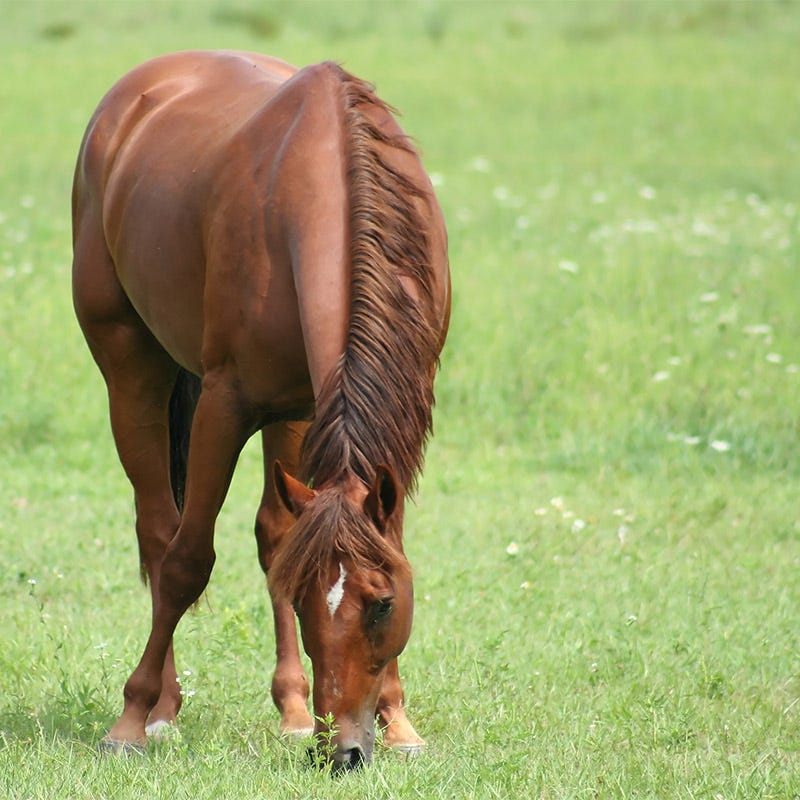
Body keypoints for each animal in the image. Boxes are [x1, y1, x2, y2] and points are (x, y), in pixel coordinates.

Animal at [71, 50, 450, 769]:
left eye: (383, 604)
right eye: (302, 603)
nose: (344, 752)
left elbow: (370, 543)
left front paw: (398, 721)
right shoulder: (225, 404)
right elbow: (187, 563)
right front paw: (130, 719)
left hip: (294, 411)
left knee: (274, 530)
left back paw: (295, 711)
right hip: (130, 367)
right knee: (160, 532)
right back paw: (161, 708)